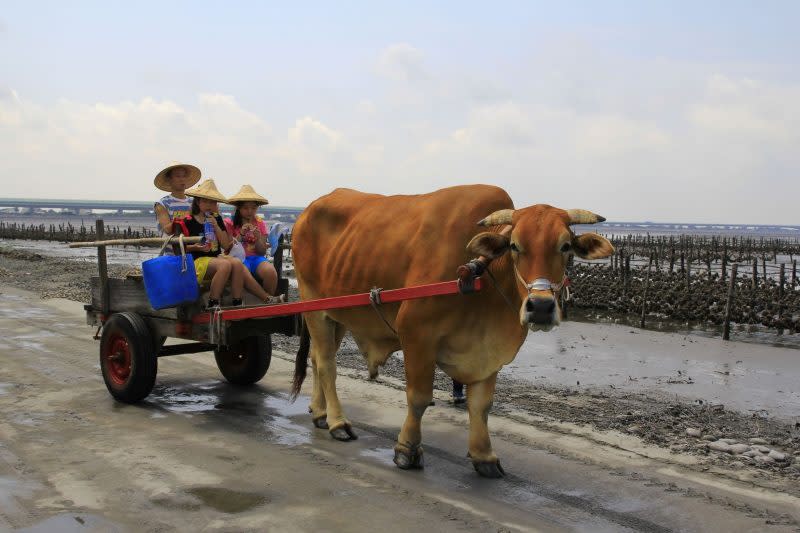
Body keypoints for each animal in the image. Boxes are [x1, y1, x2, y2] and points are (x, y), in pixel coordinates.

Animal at [292, 185, 612, 476]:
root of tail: (307, 211)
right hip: (313, 305)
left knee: (317, 360)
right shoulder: (416, 335)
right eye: (514, 246)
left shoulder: (488, 353)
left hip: (337, 315)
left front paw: (484, 456)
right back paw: (338, 422)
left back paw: (320, 412)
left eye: (565, 246)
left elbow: (482, 405)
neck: (481, 275)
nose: (541, 307)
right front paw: (407, 449)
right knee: (327, 365)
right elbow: (419, 398)